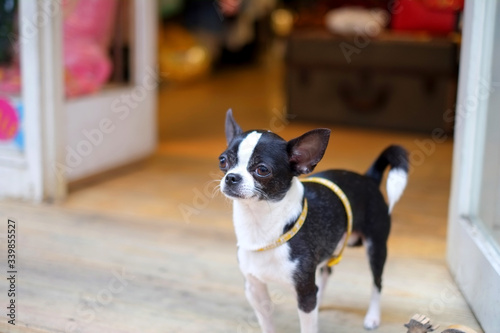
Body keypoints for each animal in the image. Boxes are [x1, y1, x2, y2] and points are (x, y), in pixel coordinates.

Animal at [221, 109, 408, 330]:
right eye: (223, 161)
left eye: (262, 170)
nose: (231, 177)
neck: (261, 224)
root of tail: (368, 178)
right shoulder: (254, 288)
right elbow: (267, 323)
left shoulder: (305, 293)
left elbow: (308, 326)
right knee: (328, 272)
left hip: (376, 248)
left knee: (377, 282)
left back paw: (372, 317)